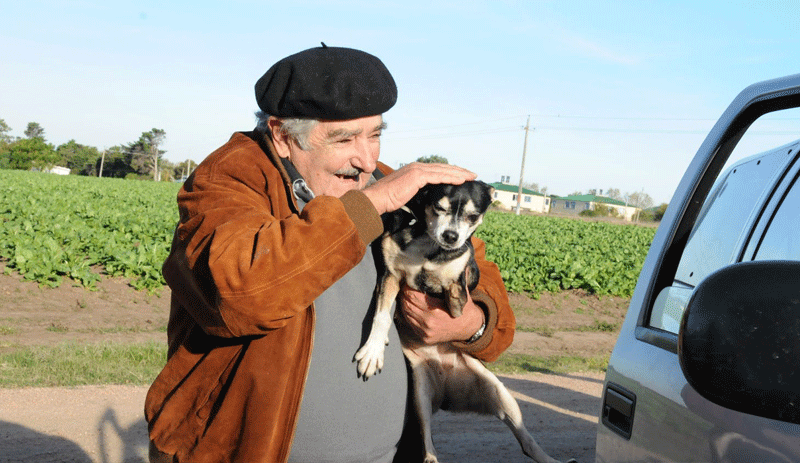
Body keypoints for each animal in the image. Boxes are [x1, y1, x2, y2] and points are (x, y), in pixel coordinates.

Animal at [354, 181, 568, 463]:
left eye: (473, 216)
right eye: (438, 207)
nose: (451, 236)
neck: (428, 247)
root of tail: (447, 391)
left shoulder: (458, 277)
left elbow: (460, 285)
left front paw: (457, 282)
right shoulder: (391, 276)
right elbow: (381, 316)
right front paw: (373, 351)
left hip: (502, 396)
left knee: (527, 441)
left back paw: (551, 459)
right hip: (421, 396)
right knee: (427, 444)